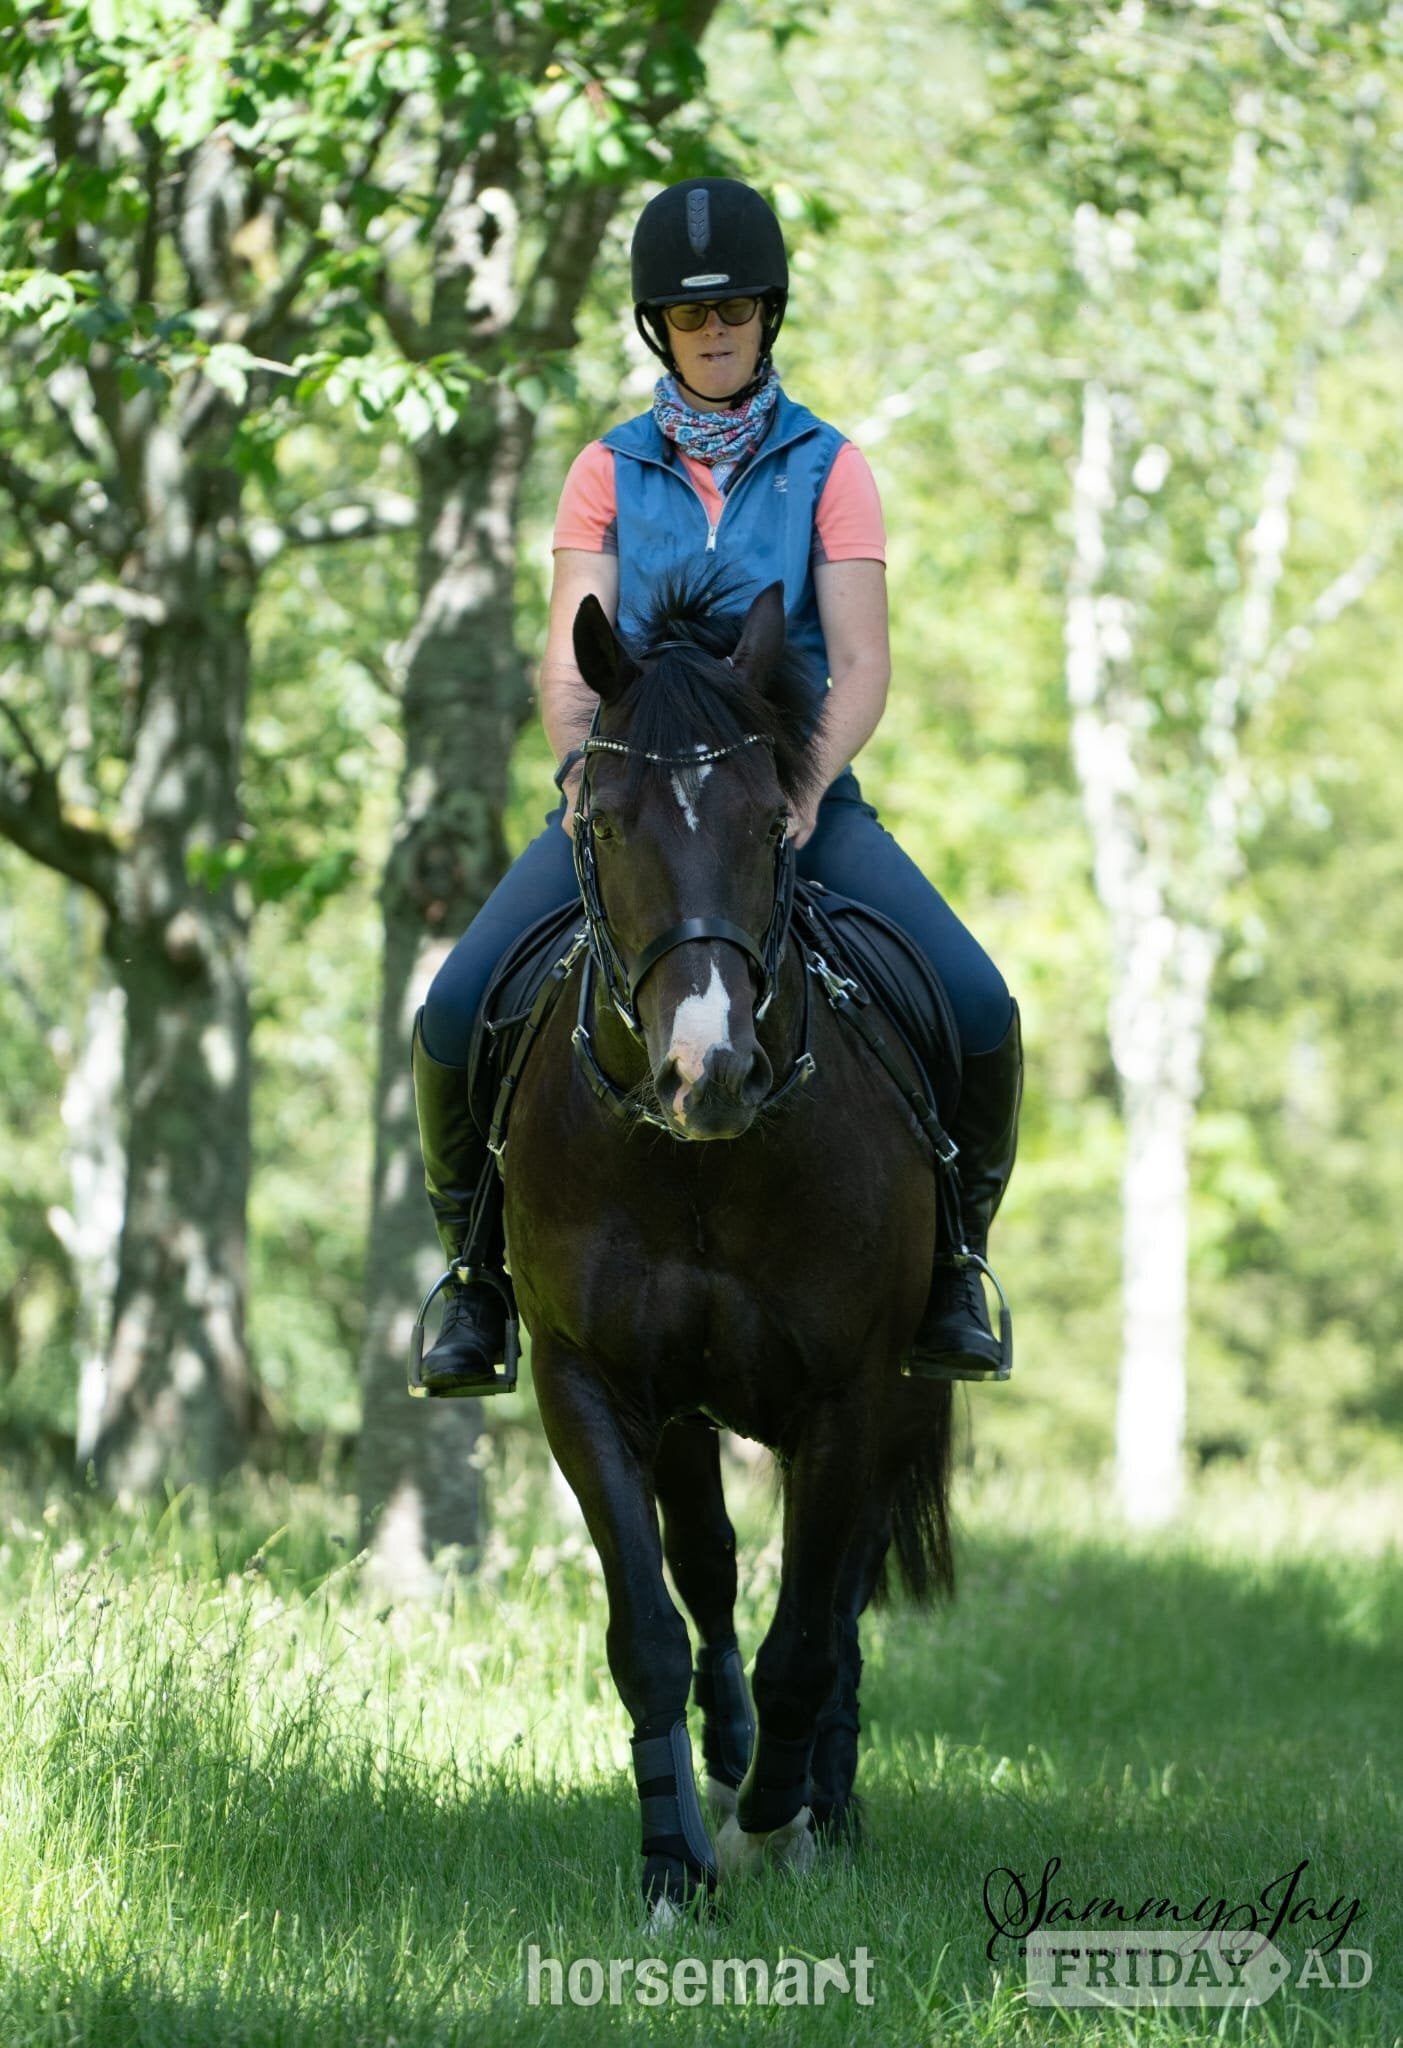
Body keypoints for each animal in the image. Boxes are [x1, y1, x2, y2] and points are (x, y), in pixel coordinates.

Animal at [502, 574, 955, 1917]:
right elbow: (651, 1625)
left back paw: (820, 1799)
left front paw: (772, 1822)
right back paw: (733, 1755)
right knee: (706, 1566)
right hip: (684, 1410)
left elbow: (808, 1624)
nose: (709, 1072)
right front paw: (674, 1862)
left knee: (839, 1595)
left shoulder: (852, 1394)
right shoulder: (587, 1383)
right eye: (602, 825)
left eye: (769, 826)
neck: (697, 1164)